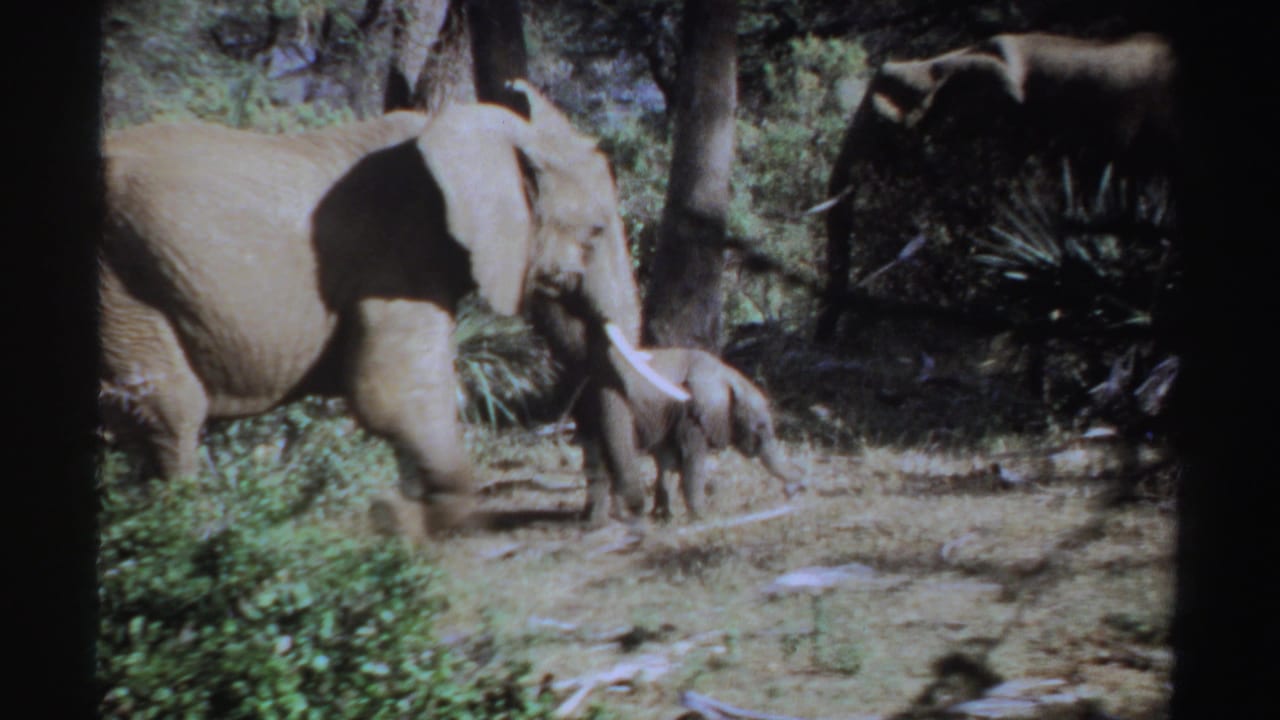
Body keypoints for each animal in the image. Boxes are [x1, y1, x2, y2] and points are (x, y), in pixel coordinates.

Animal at [99, 79, 688, 534]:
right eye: (596, 231)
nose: (639, 514)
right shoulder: (396, 255)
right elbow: (391, 393)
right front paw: (404, 522)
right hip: (120, 282)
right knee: (170, 412)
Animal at [614, 342, 805, 520]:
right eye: (761, 426)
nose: (795, 490)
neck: (726, 374)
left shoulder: (669, 415)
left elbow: (667, 460)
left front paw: (663, 520)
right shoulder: (690, 414)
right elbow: (692, 458)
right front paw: (702, 518)